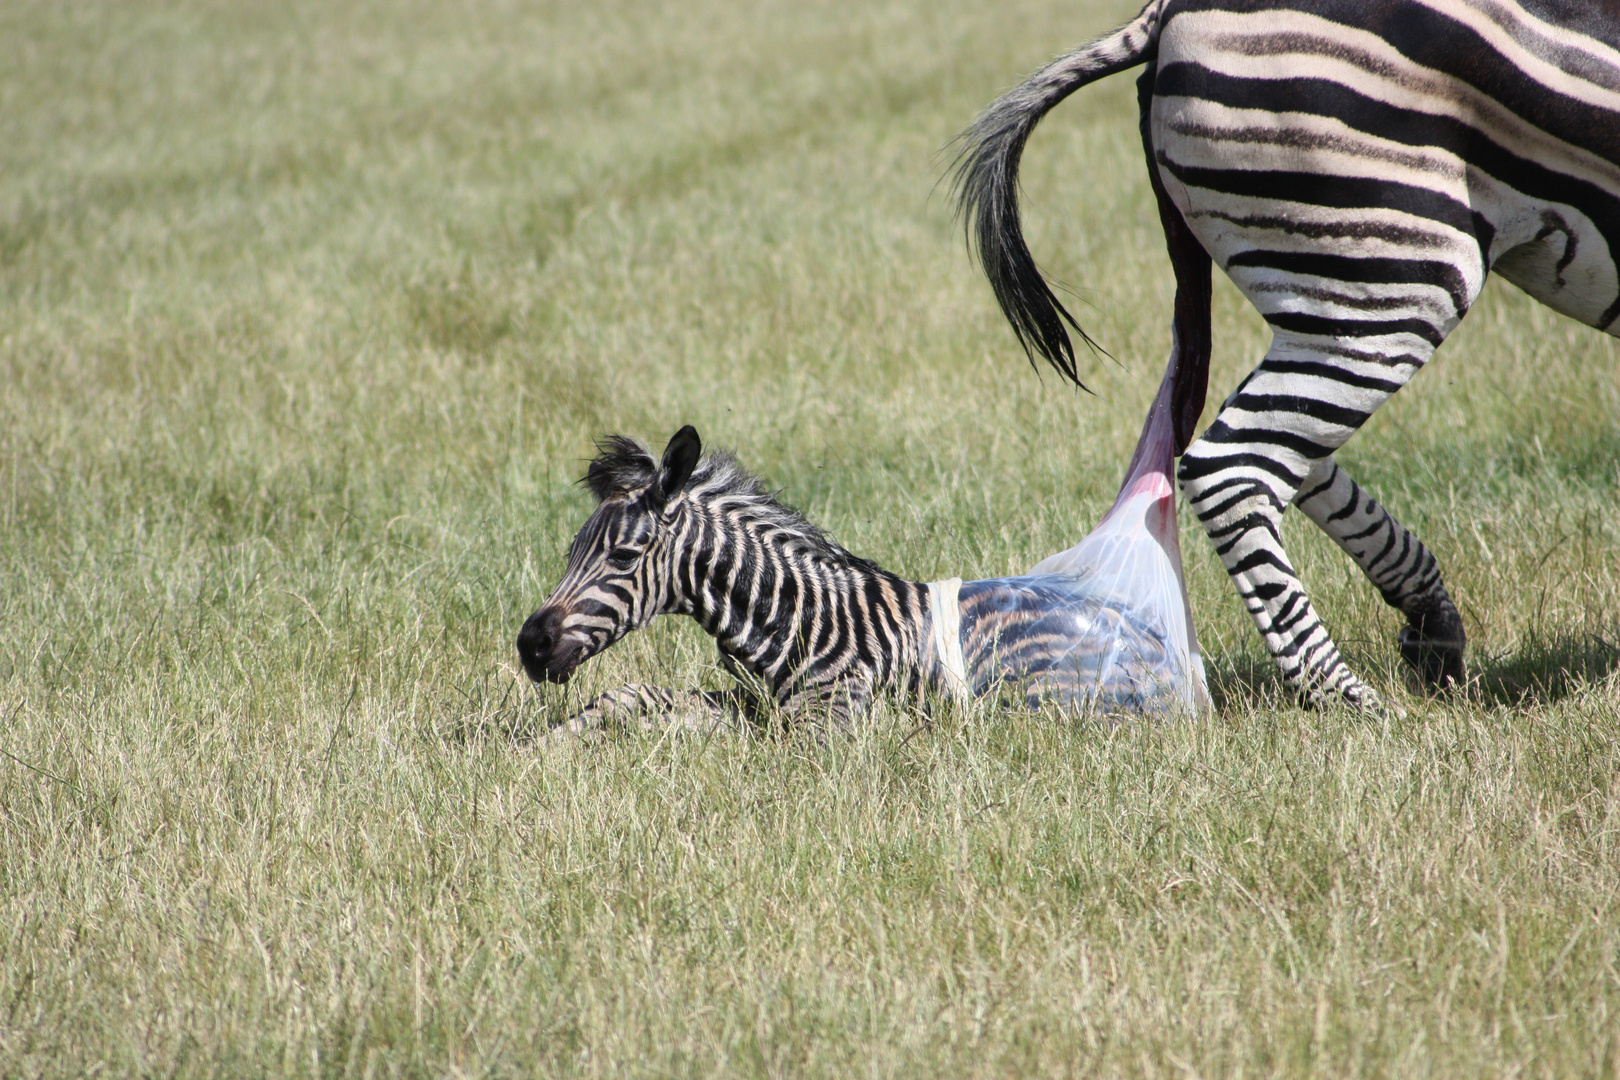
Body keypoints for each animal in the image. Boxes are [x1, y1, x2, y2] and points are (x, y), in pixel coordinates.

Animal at [518, 420, 1192, 735]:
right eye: (571, 551)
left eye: (624, 557)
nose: (530, 645)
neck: (796, 621)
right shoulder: (760, 703)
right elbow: (633, 696)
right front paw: (545, 746)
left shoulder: (825, 725)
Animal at [946, 0, 1620, 709]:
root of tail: (1168, 11)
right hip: (1394, 266)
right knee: (1233, 465)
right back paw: (1348, 699)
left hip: (1332, 284)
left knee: (1285, 449)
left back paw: (1429, 633)